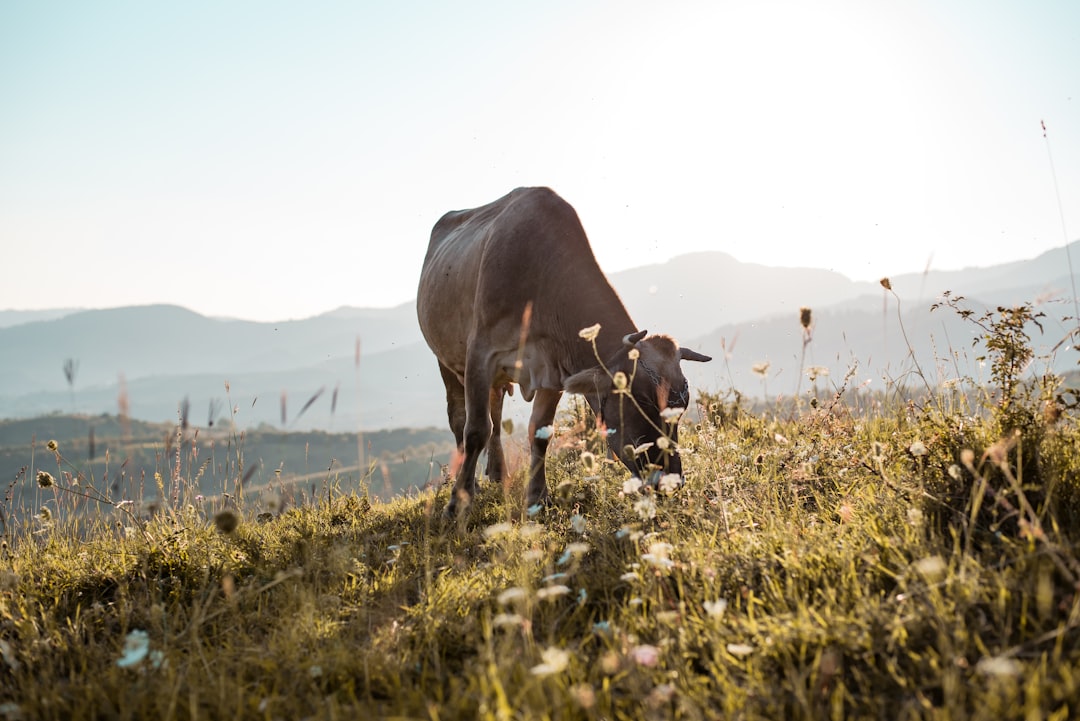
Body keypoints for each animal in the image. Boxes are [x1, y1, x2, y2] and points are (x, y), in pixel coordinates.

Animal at [416, 184, 712, 511]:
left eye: (682, 408)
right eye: (641, 403)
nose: (671, 482)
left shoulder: (551, 368)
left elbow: (540, 433)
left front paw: (537, 498)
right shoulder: (480, 355)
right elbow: (477, 429)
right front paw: (458, 504)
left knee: (495, 411)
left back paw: (497, 474)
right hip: (446, 360)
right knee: (461, 420)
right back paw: (474, 486)